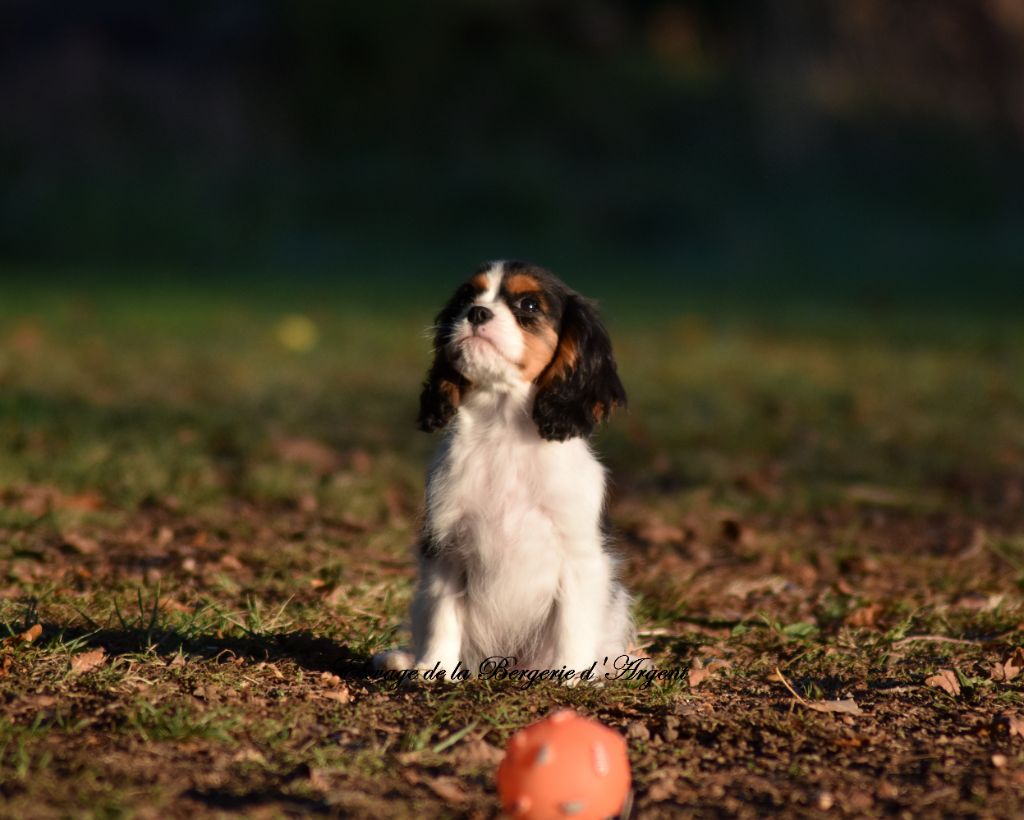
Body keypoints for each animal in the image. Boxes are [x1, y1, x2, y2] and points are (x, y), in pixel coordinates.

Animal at [376, 261, 630, 679]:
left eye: (528, 305)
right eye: (467, 297)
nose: (477, 313)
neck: (503, 426)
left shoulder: (579, 557)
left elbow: (573, 622)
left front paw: (570, 678)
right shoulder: (447, 547)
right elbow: (443, 615)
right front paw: (434, 668)